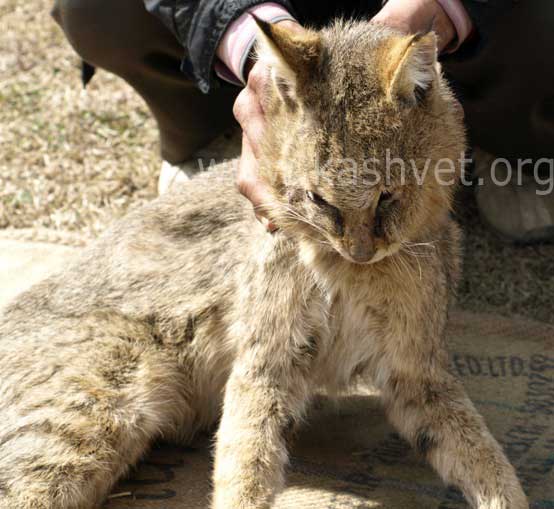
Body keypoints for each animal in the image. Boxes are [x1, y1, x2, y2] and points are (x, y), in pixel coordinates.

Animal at [0, 18, 528, 508]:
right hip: (82, 421)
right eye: (319, 200)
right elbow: (245, 461)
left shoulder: (416, 371)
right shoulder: (266, 361)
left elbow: (480, 452)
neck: (349, 273)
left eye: (387, 197)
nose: (359, 251)